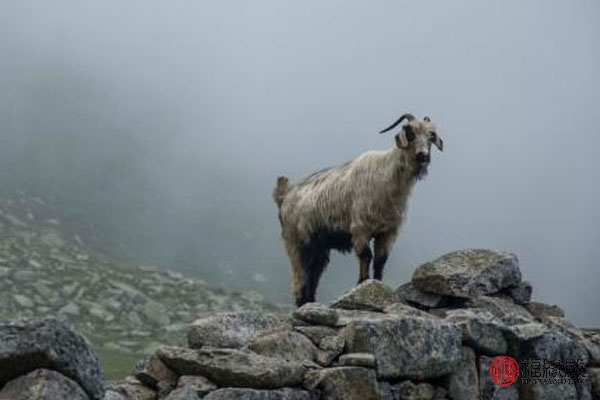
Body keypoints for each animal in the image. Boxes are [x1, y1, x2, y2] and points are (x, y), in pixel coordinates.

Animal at [274, 114, 442, 308]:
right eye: (410, 132)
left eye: (431, 136)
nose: (423, 156)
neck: (388, 175)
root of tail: (284, 195)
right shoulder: (361, 229)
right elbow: (366, 256)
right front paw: (363, 285)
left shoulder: (388, 231)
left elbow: (380, 260)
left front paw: (379, 287)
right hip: (296, 241)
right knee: (300, 275)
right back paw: (302, 302)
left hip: (319, 247)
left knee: (314, 273)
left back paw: (310, 301)